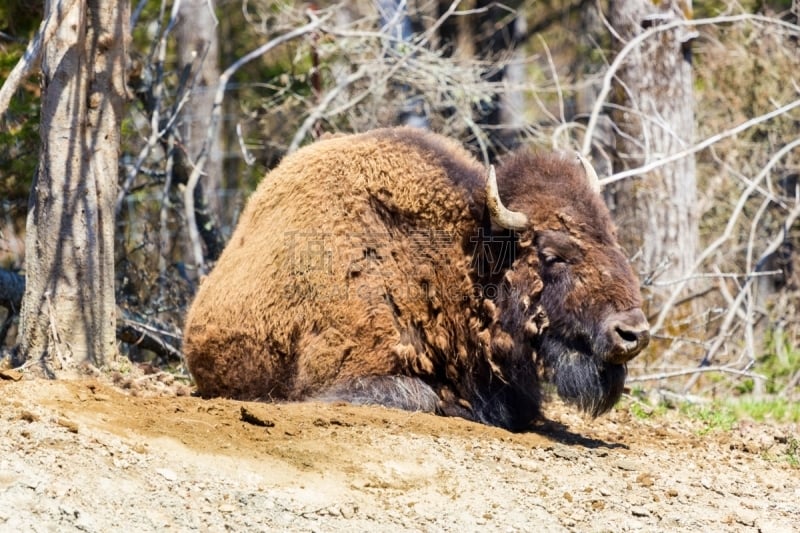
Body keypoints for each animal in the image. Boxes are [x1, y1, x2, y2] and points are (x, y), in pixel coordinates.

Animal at [186, 127, 648, 430]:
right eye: (552, 255)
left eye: (610, 236)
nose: (634, 333)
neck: (462, 258)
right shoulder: (344, 376)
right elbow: (425, 398)